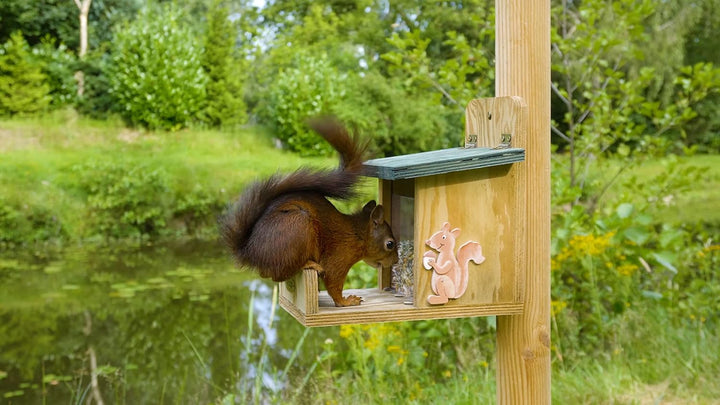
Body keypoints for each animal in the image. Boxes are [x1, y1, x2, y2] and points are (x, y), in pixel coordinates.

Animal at [220, 117, 398, 307]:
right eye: (390, 244)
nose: (396, 261)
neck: (358, 234)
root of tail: (250, 252)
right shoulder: (339, 256)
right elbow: (333, 283)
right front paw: (346, 301)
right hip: (298, 225)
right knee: (277, 275)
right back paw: (308, 265)